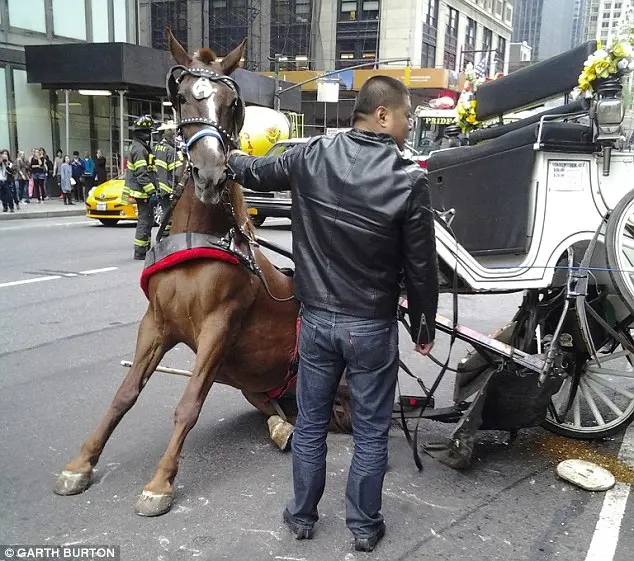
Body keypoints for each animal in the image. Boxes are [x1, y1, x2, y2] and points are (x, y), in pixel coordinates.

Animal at [53, 28, 348, 516]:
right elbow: (124, 394)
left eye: (234, 103)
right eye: (181, 98)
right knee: (271, 406)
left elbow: (188, 403)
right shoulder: (156, 323)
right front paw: (81, 463)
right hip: (252, 384)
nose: (211, 173)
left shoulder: (219, 325)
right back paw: (281, 427)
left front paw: (160, 482)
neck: (199, 239)